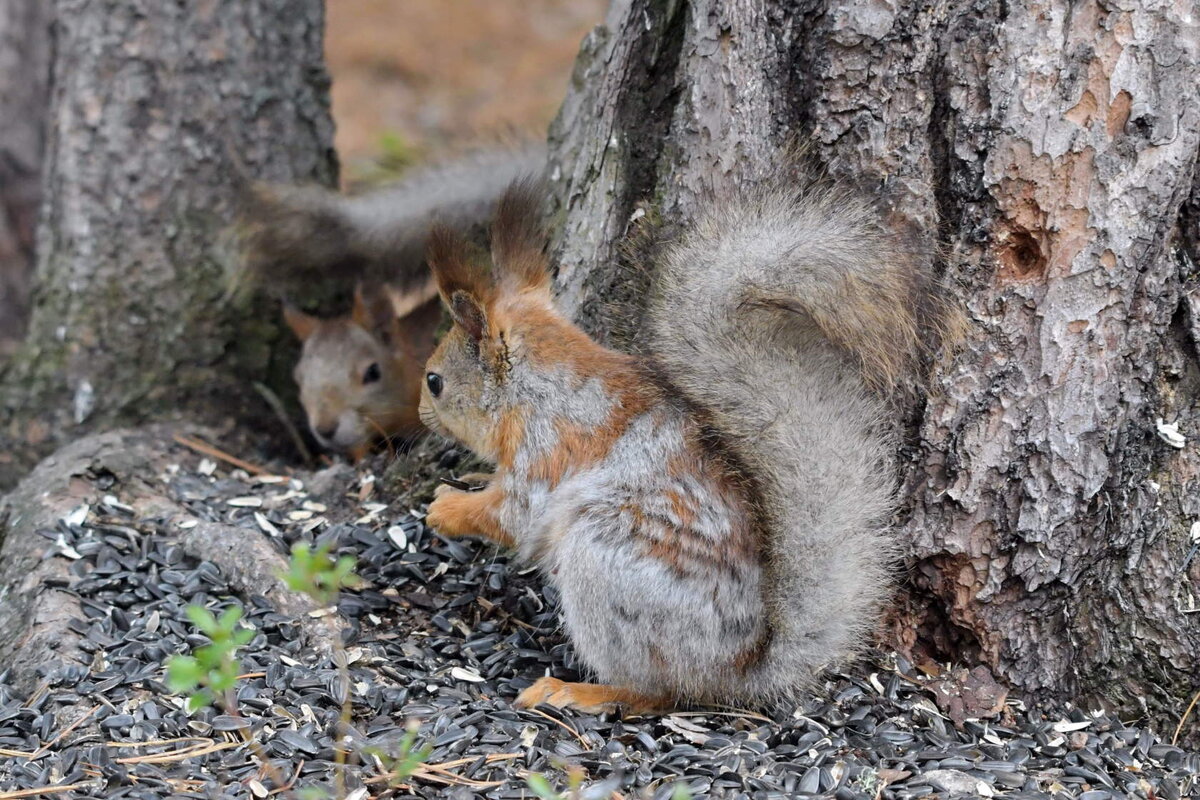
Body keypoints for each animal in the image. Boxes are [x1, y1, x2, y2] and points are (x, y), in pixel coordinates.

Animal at [412, 176, 955, 714]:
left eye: (435, 382)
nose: (419, 415)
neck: (538, 385)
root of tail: (737, 671)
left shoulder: (546, 449)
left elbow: (513, 514)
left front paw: (449, 508)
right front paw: (469, 481)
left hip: (604, 567)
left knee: (655, 692)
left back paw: (575, 691)